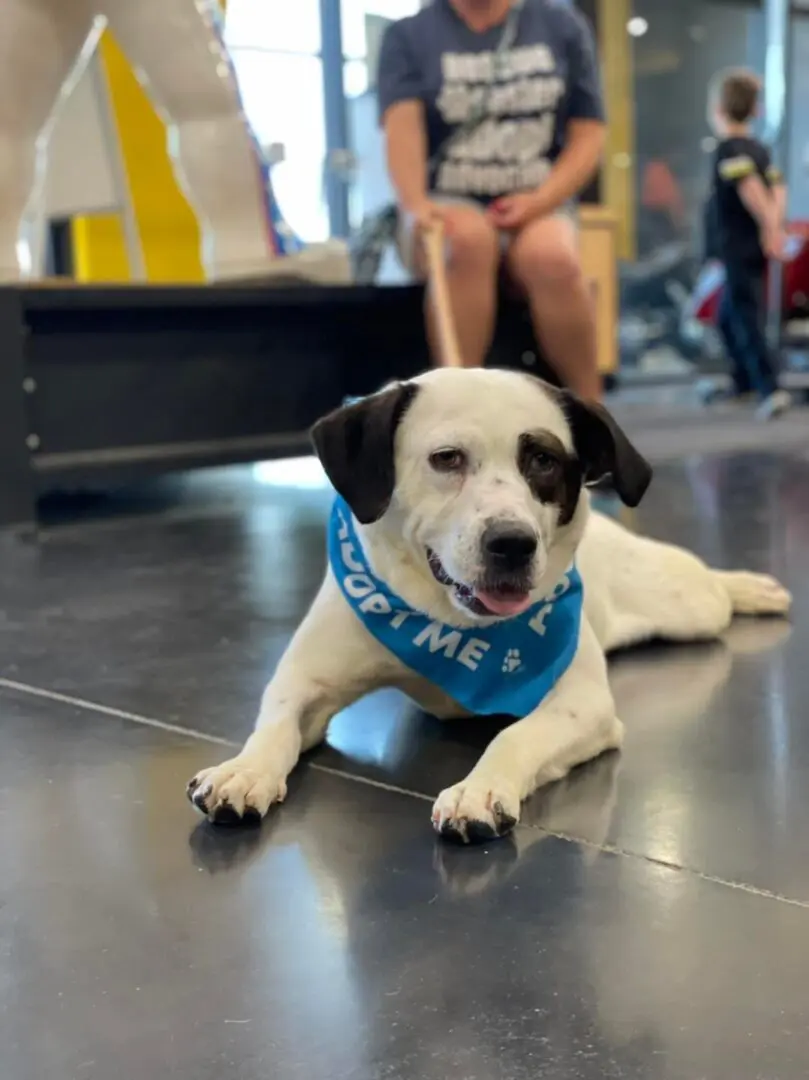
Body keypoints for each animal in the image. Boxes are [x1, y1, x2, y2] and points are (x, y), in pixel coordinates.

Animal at [187, 371, 790, 842]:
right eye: (446, 458)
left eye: (543, 459)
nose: (513, 543)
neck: (450, 624)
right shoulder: (302, 684)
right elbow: (276, 727)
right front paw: (244, 770)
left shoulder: (583, 704)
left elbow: (513, 734)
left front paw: (478, 789)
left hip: (686, 603)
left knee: (711, 586)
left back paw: (750, 588)